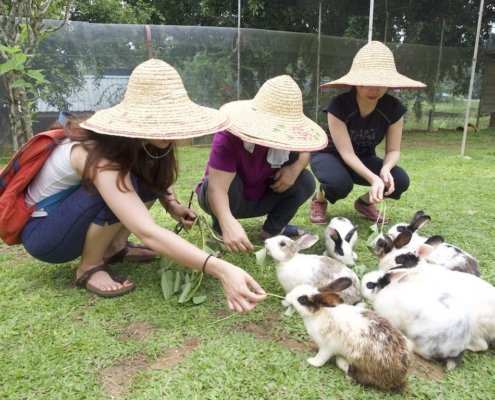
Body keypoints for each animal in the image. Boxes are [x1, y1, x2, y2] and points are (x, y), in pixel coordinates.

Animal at [284, 276, 412, 392]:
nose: (287, 297)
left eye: (302, 300)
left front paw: (311, 361)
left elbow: (321, 359)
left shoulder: (327, 347)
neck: (319, 314)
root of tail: (399, 375)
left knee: (365, 379)